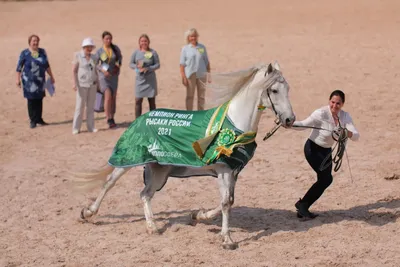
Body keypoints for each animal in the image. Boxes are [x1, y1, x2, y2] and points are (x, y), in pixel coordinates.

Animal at [73, 61, 296, 250]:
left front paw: (199, 215)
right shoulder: (223, 170)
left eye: (288, 89)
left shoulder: (233, 172)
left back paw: (152, 227)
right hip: (129, 159)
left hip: (159, 170)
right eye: (274, 90)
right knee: (110, 183)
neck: (234, 124)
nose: (289, 119)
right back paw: (88, 212)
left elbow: (228, 201)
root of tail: (140, 118)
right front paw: (227, 240)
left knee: (145, 194)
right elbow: (226, 203)